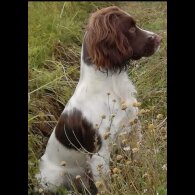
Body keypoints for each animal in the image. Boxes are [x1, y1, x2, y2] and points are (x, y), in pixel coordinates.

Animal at [35, 5, 161, 194]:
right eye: (131, 28)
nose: (160, 38)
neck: (112, 86)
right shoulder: (99, 153)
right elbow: (106, 185)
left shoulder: (133, 127)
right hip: (54, 177)